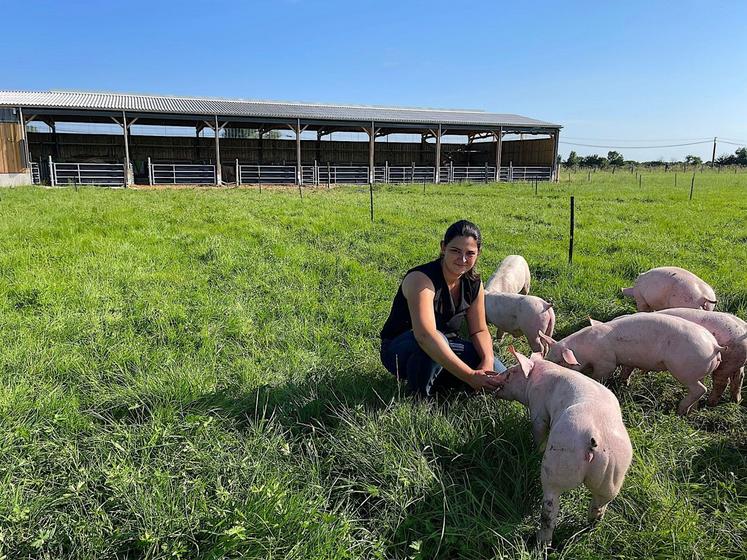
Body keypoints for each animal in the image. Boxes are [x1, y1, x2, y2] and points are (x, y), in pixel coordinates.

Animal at [494, 346, 636, 548]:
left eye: (511, 373)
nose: (497, 376)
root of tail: (594, 439)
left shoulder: (538, 408)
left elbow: (539, 429)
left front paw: (535, 450)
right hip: (613, 475)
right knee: (599, 506)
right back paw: (588, 529)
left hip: (558, 463)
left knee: (550, 509)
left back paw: (542, 544)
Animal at [540, 316, 728, 416]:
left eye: (560, 362)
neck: (586, 350)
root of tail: (714, 346)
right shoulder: (627, 360)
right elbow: (626, 370)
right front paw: (625, 383)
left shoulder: (606, 361)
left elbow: (601, 375)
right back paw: (689, 411)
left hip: (684, 370)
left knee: (700, 389)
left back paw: (679, 410)